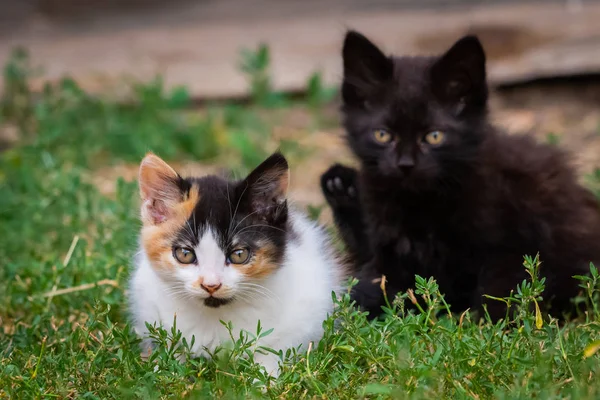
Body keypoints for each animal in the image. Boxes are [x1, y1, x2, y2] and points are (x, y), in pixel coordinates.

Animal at [131, 152, 344, 376]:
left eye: (239, 254)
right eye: (185, 254)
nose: (211, 285)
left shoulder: (309, 306)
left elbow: (275, 349)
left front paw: (264, 378)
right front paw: (165, 370)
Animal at [322, 29, 600, 320]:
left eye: (434, 136)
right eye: (382, 135)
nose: (405, 164)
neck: (420, 204)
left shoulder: (511, 242)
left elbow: (502, 289)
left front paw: (494, 323)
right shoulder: (390, 247)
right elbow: (376, 281)